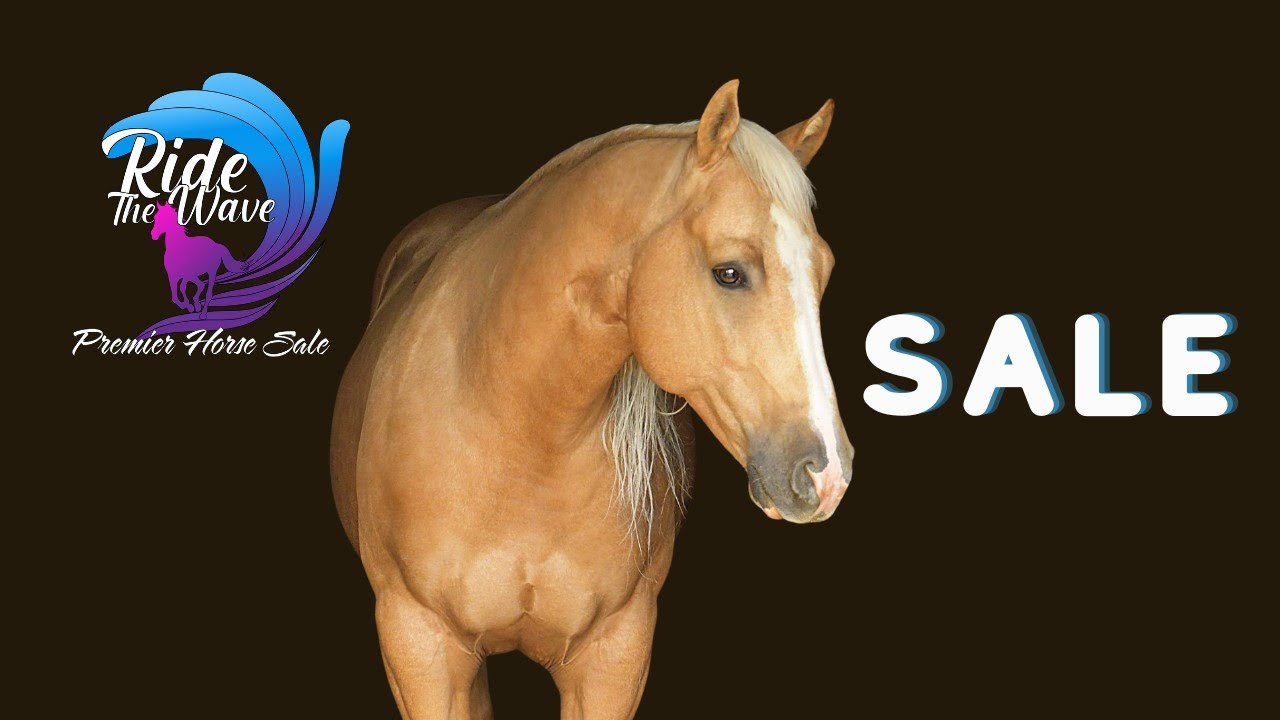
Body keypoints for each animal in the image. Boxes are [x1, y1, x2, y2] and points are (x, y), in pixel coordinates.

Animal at [331, 80, 853, 719]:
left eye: (823, 271)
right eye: (729, 272)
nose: (825, 473)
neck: (520, 435)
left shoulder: (614, 654)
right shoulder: (420, 646)